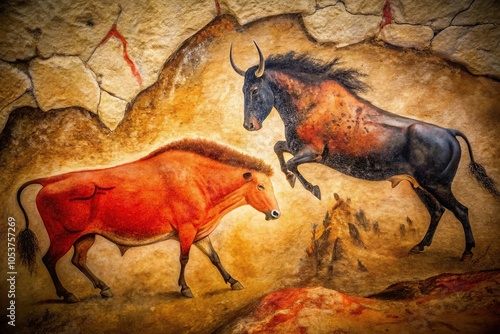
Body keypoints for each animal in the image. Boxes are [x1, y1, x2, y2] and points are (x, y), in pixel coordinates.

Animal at [16, 138, 282, 302]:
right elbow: (184, 258)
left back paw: (105, 289)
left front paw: (234, 281)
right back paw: (68, 295)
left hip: (85, 237)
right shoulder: (186, 231)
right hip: (63, 237)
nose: (276, 213)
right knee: (49, 260)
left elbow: (214, 257)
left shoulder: (201, 234)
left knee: (78, 260)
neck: (199, 179)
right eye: (260, 186)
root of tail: (48, 182)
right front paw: (185, 288)